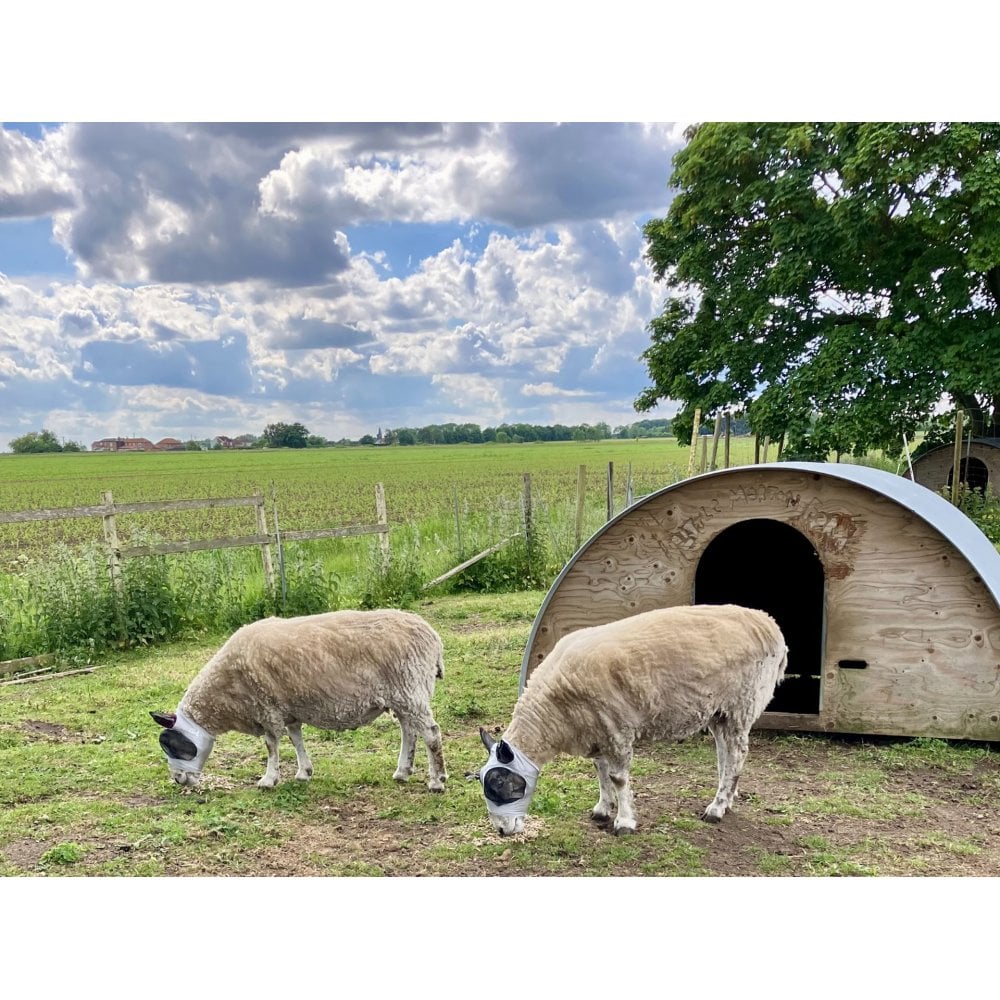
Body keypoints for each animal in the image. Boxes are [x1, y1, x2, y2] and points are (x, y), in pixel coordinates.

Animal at [150, 608, 448, 792]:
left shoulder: (266, 708)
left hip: (409, 687)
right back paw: (403, 772)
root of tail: (433, 638)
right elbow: (296, 739)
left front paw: (268, 779)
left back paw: (437, 780)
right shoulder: (288, 708)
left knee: (431, 733)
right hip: (403, 694)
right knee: (409, 731)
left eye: (170, 746)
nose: (178, 780)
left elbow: (272, 746)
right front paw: (304, 772)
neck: (226, 695)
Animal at [476, 603, 787, 836]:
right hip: (719, 710)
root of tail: (769, 624)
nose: (502, 832)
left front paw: (624, 822)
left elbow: (618, 779)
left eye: (500, 785)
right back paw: (727, 799)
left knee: (737, 754)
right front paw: (602, 810)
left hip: (742, 703)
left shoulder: (616, 729)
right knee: (726, 754)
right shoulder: (596, 730)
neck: (553, 713)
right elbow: (600, 772)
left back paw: (717, 808)